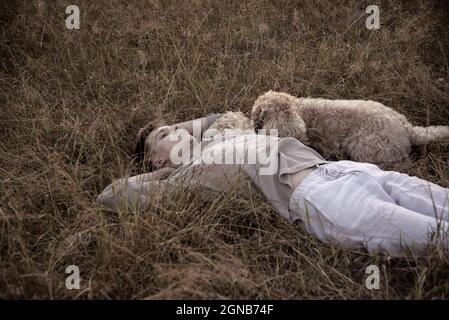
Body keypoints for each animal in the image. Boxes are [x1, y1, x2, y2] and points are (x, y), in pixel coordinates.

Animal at [250, 91, 446, 164]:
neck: (300, 111)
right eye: (257, 113)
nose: (256, 128)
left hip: (364, 146)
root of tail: (407, 128)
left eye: (265, 115)